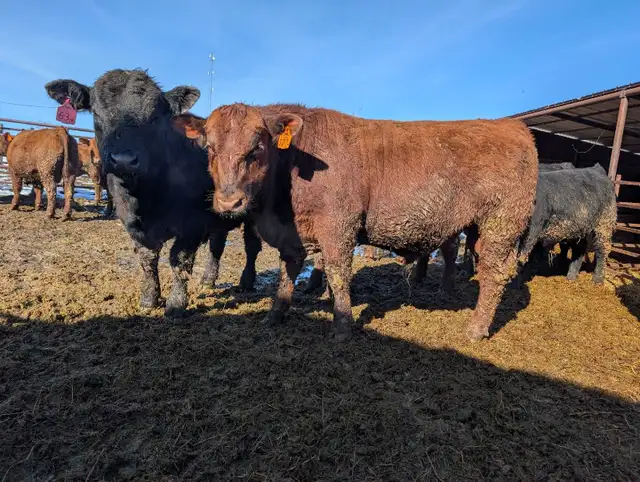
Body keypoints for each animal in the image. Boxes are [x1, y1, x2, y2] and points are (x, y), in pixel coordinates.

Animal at [44, 69, 262, 316]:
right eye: (97, 114)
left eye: (155, 118)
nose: (124, 160)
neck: (146, 198)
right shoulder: (132, 224)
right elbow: (147, 258)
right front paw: (149, 299)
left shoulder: (192, 224)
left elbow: (180, 260)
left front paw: (176, 304)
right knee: (217, 245)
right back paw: (208, 280)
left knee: (251, 247)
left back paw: (246, 282)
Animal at [179, 103, 538, 341]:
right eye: (209, 148)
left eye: (257, 147)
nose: (229, 201)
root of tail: (513, 127)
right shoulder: (293, 235)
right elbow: (286, 273)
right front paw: (274, 315)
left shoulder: (338, 225)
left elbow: (338, 274)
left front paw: (342, 326)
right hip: (476, 228)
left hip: (501, 223)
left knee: (494, 274)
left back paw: (476, 329)